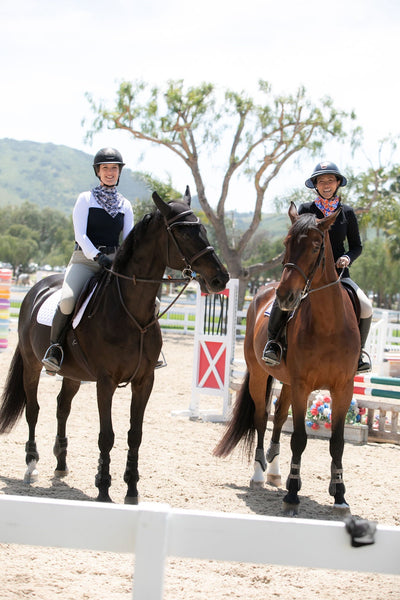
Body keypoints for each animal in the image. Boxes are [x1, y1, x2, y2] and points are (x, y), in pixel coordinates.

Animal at [0, 188, 230, 502]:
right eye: (183, 232)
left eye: (203, 229)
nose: (221, 278)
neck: (131, 312)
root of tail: (38, 287)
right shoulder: (105, 381)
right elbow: (106, 436)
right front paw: (104, 489)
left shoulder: (145, 381)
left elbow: (135, 435)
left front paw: (131, 489)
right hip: (32, 364)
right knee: (33, 409)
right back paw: (31, 466)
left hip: (73, 374)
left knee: (62, 407)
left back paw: (61, 464)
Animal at [216, 204, 360, 512]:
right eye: (286, 243)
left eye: (316, 246)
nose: (285, 297)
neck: (329, 325)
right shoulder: (303, 385)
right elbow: (299, 438)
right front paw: (293, 494)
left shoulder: (343, 388)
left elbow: (337, 442)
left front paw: (339, 494)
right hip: (262, 374)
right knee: (262, 417)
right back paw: (259, 472)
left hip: (289, 383)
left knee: (280, 418)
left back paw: (274, 471)